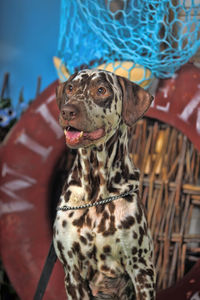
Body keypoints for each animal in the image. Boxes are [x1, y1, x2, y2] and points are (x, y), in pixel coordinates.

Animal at [53, 69, 156, 298]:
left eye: (101, 90)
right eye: (70, 88)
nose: (67, 111)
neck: (95, 194)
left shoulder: (142, 270)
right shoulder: (72, 275)